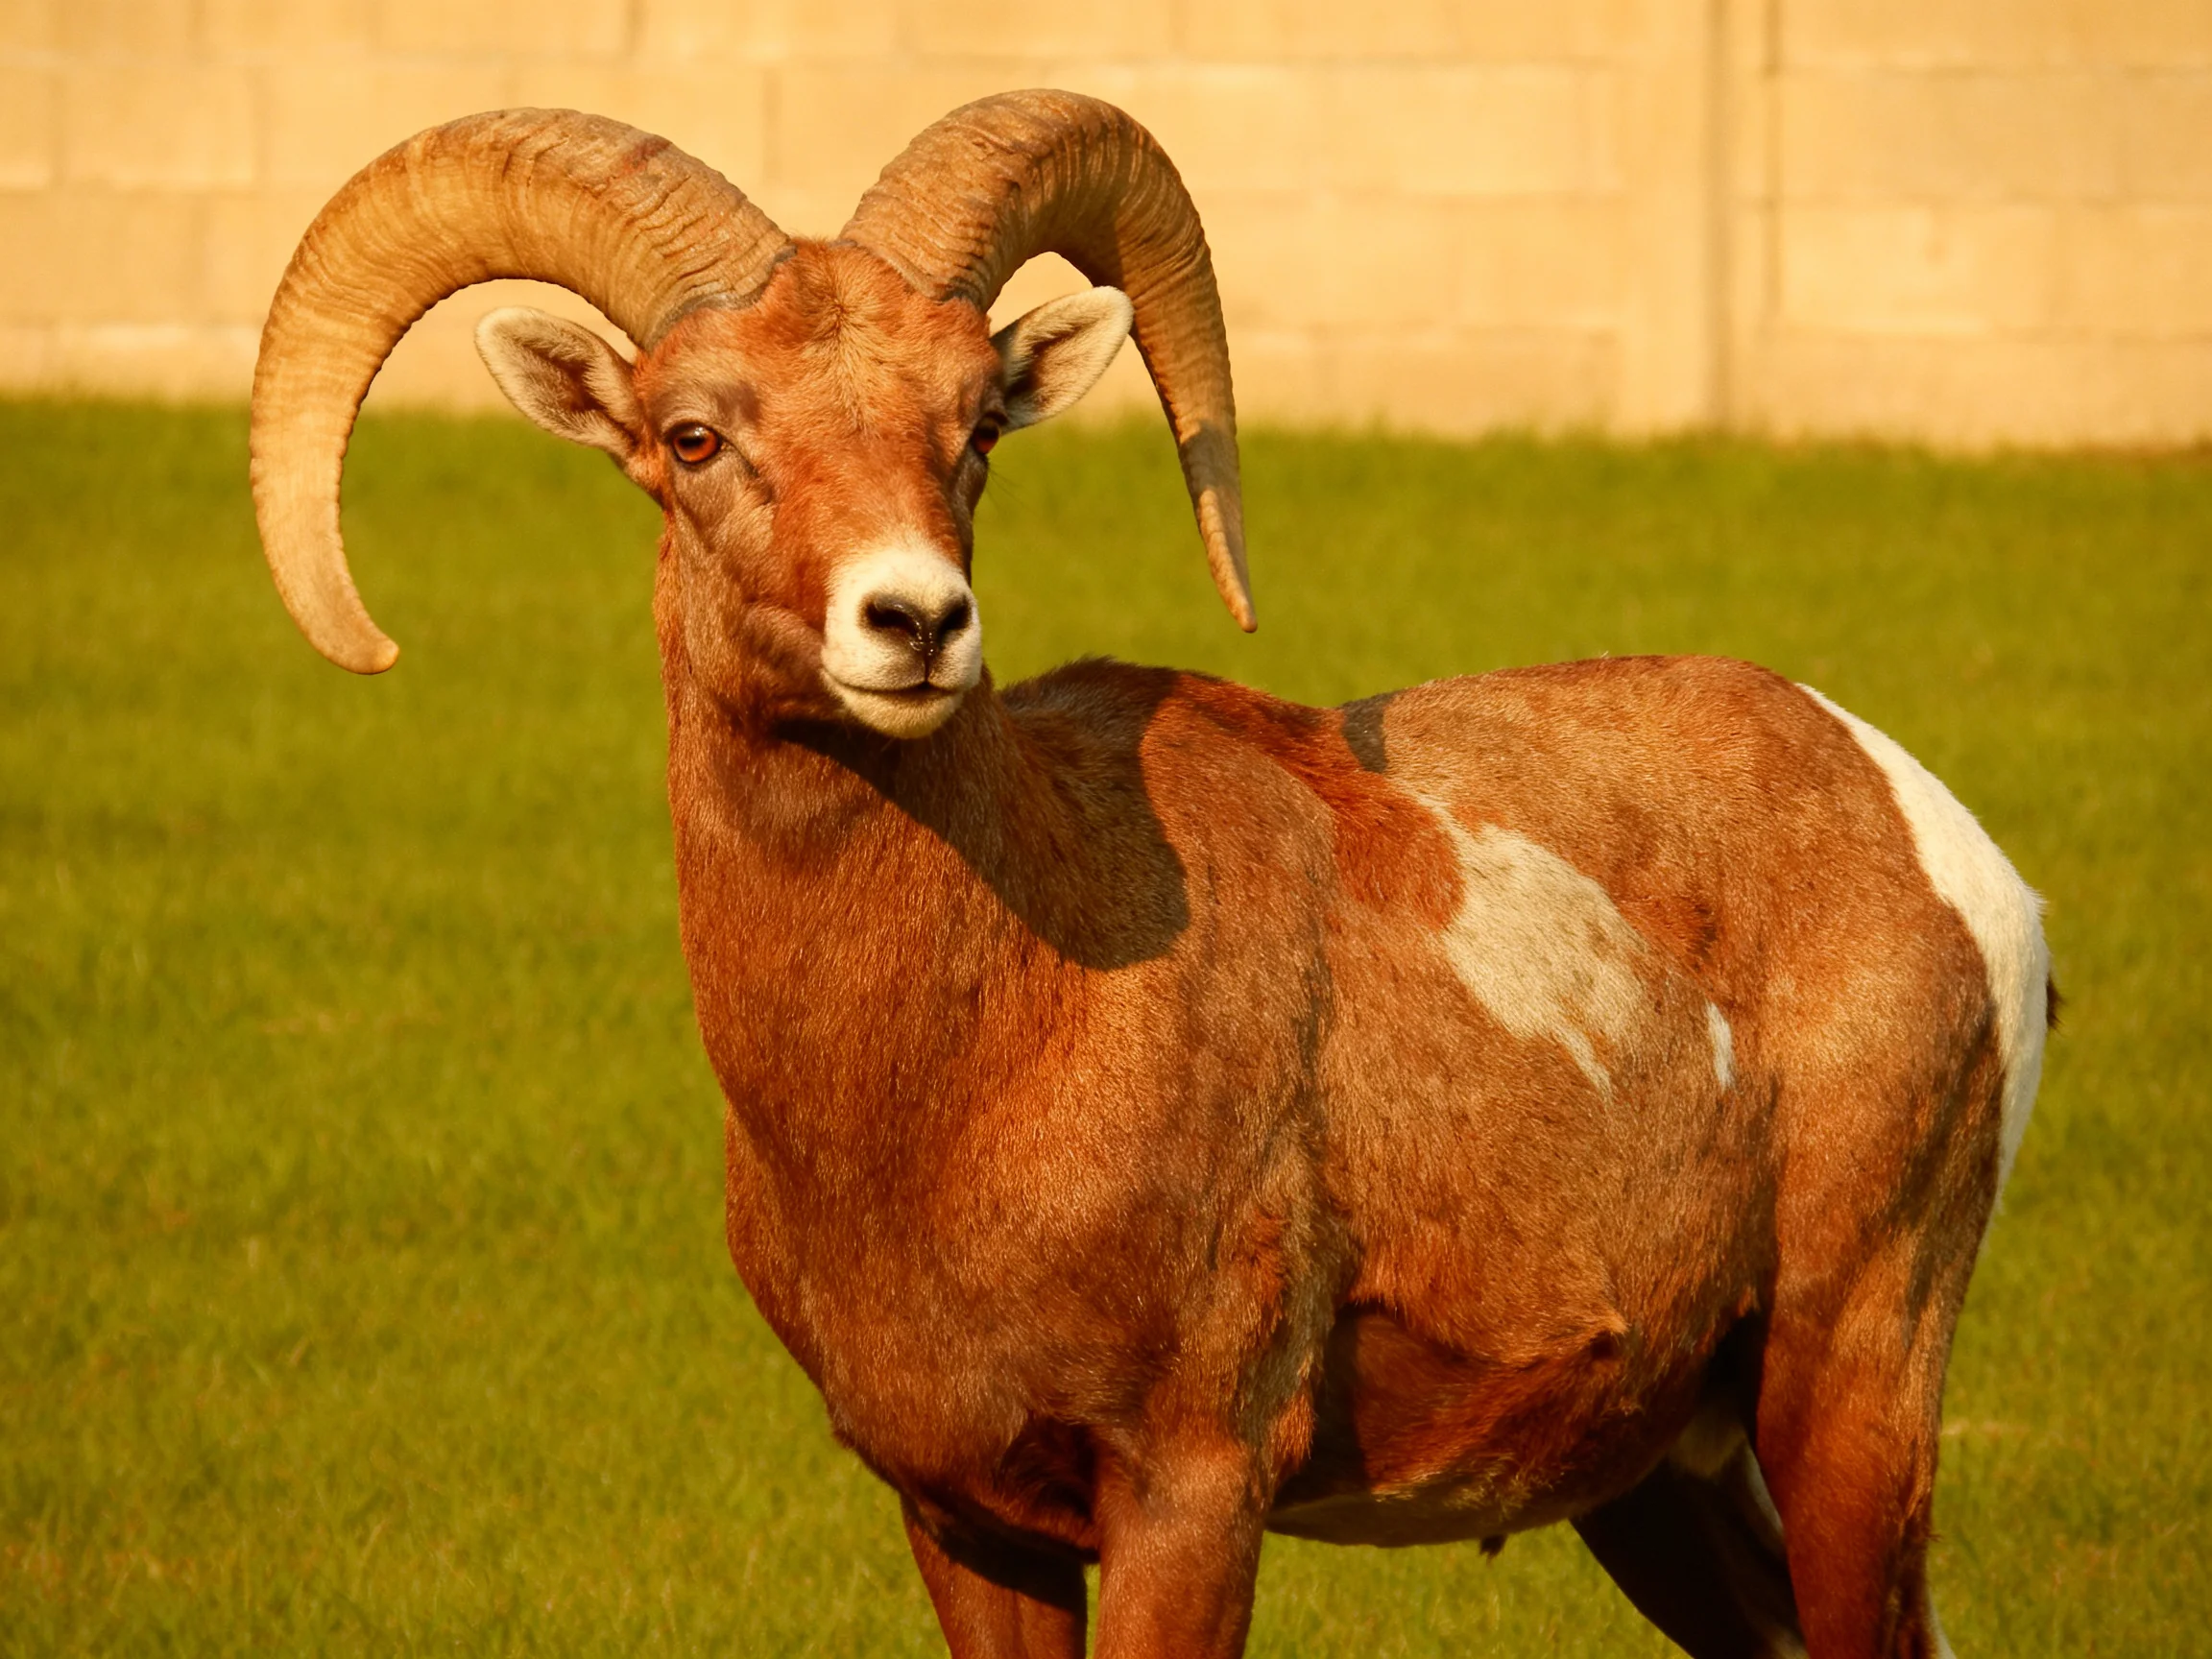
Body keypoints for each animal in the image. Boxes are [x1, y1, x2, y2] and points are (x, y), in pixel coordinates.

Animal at [248, 92, 2050, 1659]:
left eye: (974, 425)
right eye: (692, 436)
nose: (913, 623)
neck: (966, 1065)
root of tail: (1937, 839)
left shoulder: (1189, 1491)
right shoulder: (967, 1518)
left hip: (1849, 1377)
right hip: (1673, 1479)